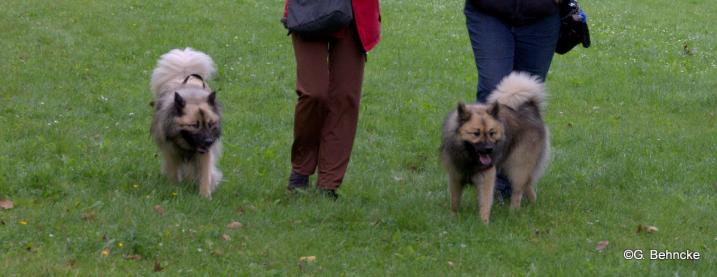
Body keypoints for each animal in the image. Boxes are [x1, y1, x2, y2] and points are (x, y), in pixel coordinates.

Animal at [148, 48, 221, 198]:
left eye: (210, 124)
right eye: (194, 125)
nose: (209, 141)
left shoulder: (204, 153)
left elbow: (205, 174)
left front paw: (205, 195)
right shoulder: (170, 151)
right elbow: (173, 172)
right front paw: (174, 188)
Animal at [436, 71, 548, 222]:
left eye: (492, 133)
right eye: (476, 133)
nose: (489, 149)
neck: (469, 158)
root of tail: (531, 108)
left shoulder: (486, 176)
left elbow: (485, 202)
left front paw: (483, 222)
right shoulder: (455, 175)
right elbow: (454, 200)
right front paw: (454, 216)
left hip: (518, 165)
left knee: (518, 190)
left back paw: (513, 212)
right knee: (528, 186)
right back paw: (533, 206)